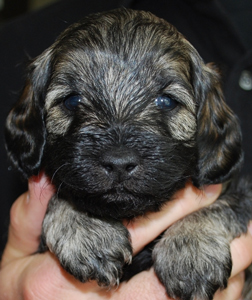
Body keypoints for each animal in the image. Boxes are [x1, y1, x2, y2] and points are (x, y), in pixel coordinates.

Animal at [4, 8, 252, 300]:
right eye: (72, 100)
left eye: (166, 101)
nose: (119, 163)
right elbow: (68, 191)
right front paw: (89, 230)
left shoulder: (239, 189)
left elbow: (223, 204)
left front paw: (190, 249)